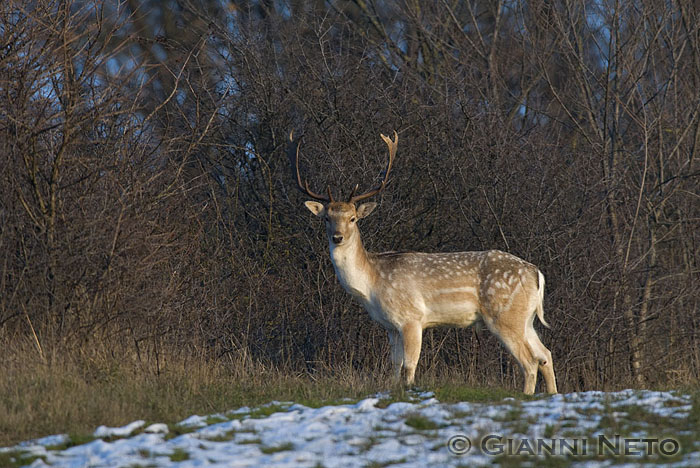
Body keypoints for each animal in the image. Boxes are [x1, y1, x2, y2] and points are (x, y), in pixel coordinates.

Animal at [290, 130, 556, 394]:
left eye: (353, 218)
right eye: (326, 218)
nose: (338, 237)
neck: (372, 284)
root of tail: (536, 273)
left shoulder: (412, 318)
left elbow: (409, 367)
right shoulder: (391, 326)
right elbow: (394, 366)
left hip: (504, 315)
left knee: (530, 361)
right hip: (526, 318)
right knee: (545, 354)